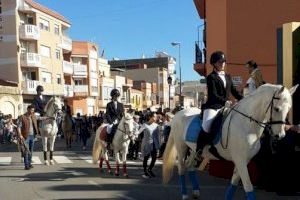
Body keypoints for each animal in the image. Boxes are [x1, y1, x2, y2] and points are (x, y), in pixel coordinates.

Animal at [163, 84, 298, 200]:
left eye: (289, 109)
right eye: (277, 109)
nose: (280, 135)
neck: (247, 125)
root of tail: (178, 114)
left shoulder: (244, 160)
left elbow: (234, 183)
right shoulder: (240, 160)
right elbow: (248, 187)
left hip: (195, 150)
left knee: (190, 166)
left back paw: (196, 192)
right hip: (181, 147)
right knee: (182, 168)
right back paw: (185, 195)